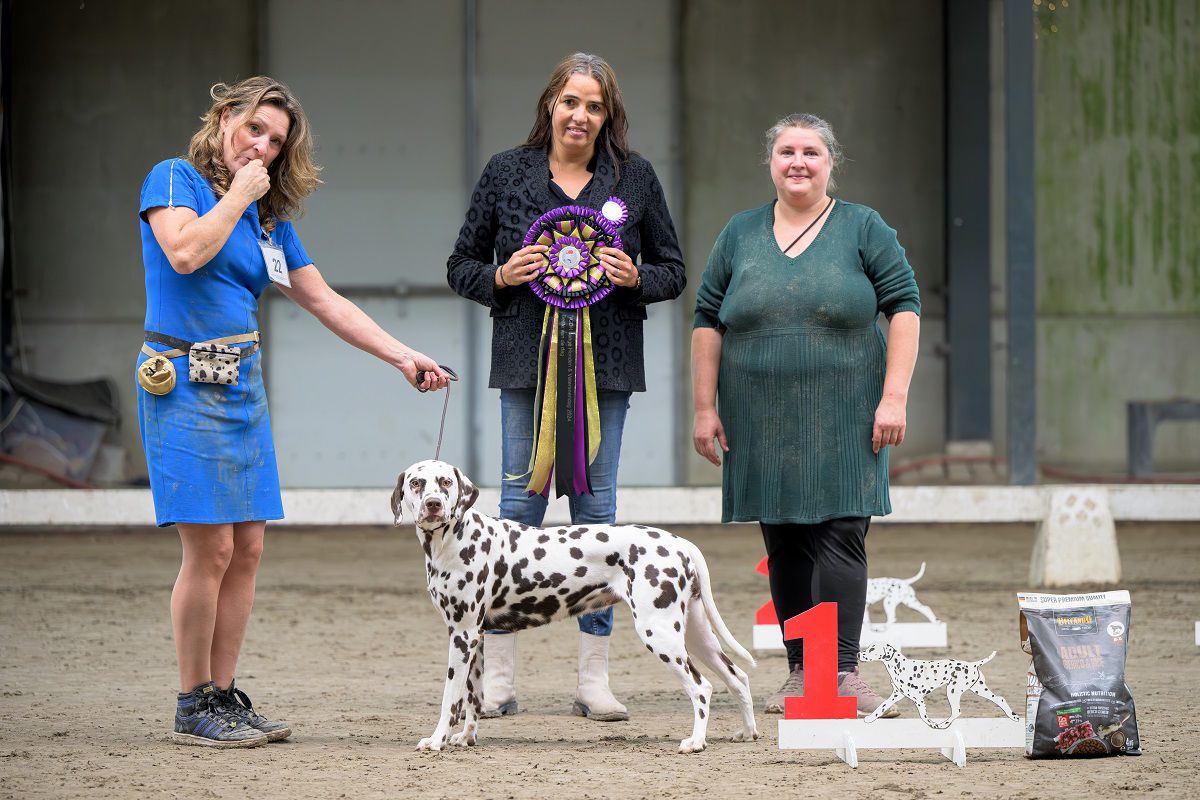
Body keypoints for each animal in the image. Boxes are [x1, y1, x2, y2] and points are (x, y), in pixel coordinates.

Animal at [391, 460, 758, 753]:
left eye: (445, 482)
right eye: (417, 483)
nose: (434, 504)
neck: (455, 539)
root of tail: (680, 543)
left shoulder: (462, 635)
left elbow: (449, 698)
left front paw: (436, 740)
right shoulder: (472, 637)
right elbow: (472, 698)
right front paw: (466, 738)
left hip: (660, 633)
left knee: (701, 687)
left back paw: (696, 742)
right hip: (695, 634)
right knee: (737, 677)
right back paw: (747, 732)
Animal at [859, 642, 1017, 729]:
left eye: (872, 649)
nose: (858, 654)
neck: (900, 666)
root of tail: (973, 664)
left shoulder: (918, 699)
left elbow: (924, 717)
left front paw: (933, 724)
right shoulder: (896, 695)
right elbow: (881, 707)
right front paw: (870, 718)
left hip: (953, 691)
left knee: (956, 712)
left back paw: (943, 725)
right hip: (979, 689)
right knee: (1000, 698)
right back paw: (1013, 717)